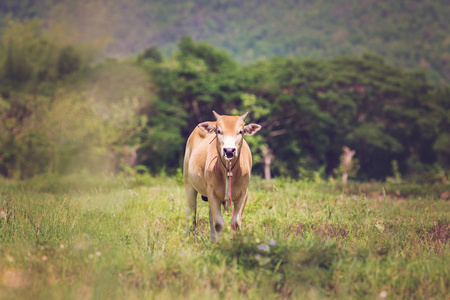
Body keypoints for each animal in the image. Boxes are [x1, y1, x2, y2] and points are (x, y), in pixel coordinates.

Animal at [182, 110, 260, 241]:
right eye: (219, 131)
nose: (229, 150)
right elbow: (218, 224)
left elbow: (235, 224)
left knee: (209, 217)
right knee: (191, 212)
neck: (228, 170)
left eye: (241, 131)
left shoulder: (244, 193)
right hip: (188, 183)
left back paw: (212, 241)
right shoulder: (212, 192)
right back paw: (188, 239)